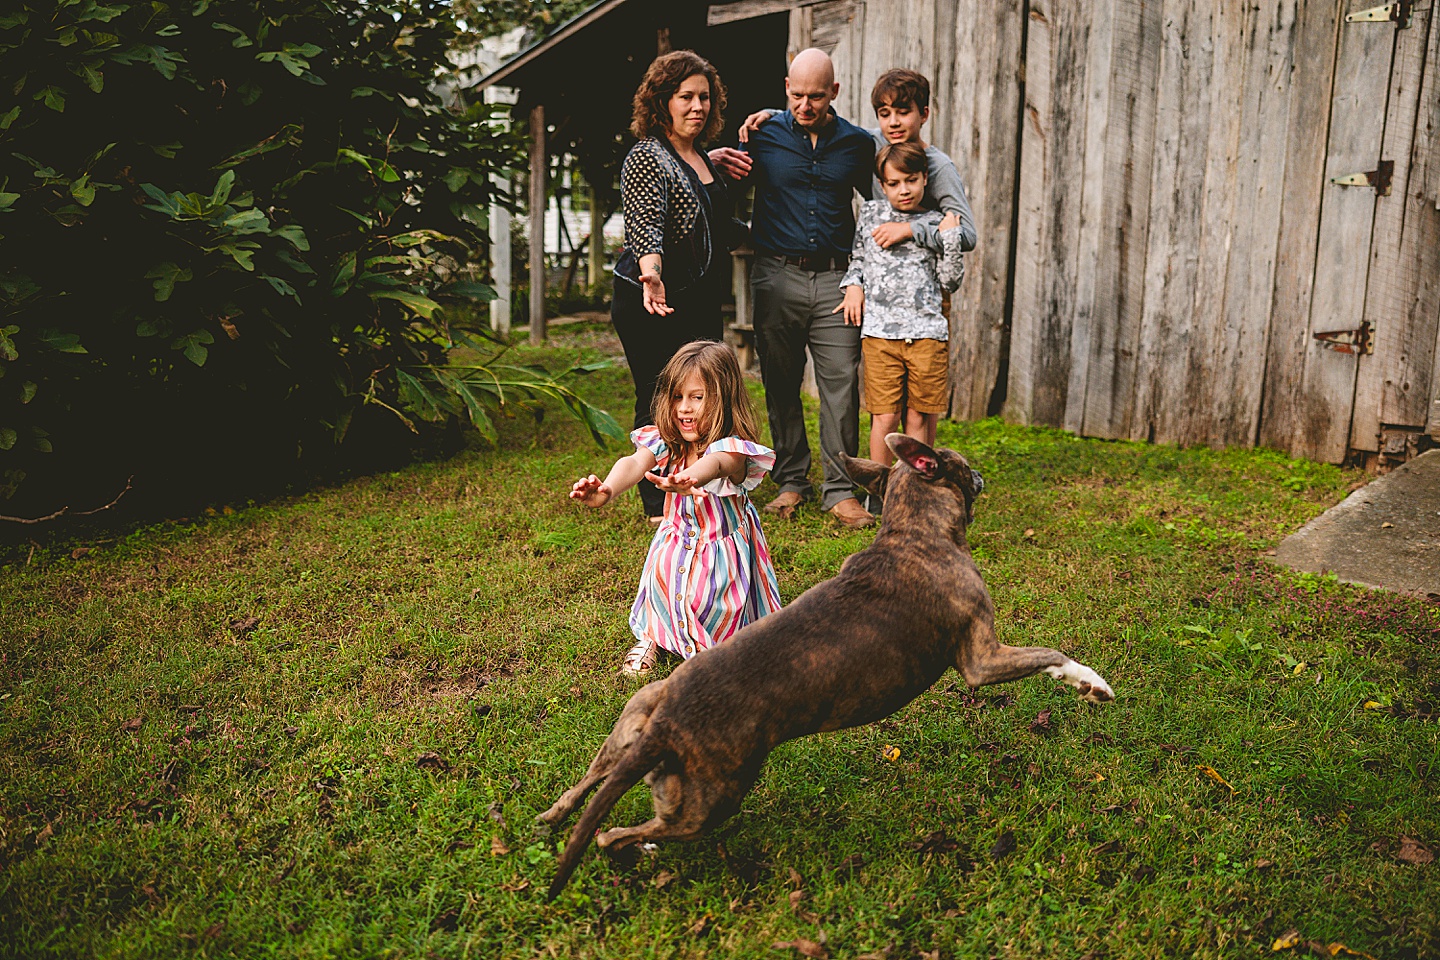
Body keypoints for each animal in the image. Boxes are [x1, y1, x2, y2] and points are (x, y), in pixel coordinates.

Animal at [541, 434, 1111, 903]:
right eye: (962, 463)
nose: (979, 474)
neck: (914, 532)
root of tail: (667, 723)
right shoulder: (981, 660)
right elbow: (1050, 654)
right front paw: (1090, 682)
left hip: (631, 726)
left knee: (583, 790)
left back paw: (556, 819)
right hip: (712, 799)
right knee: (617, 832)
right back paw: (630, 849)